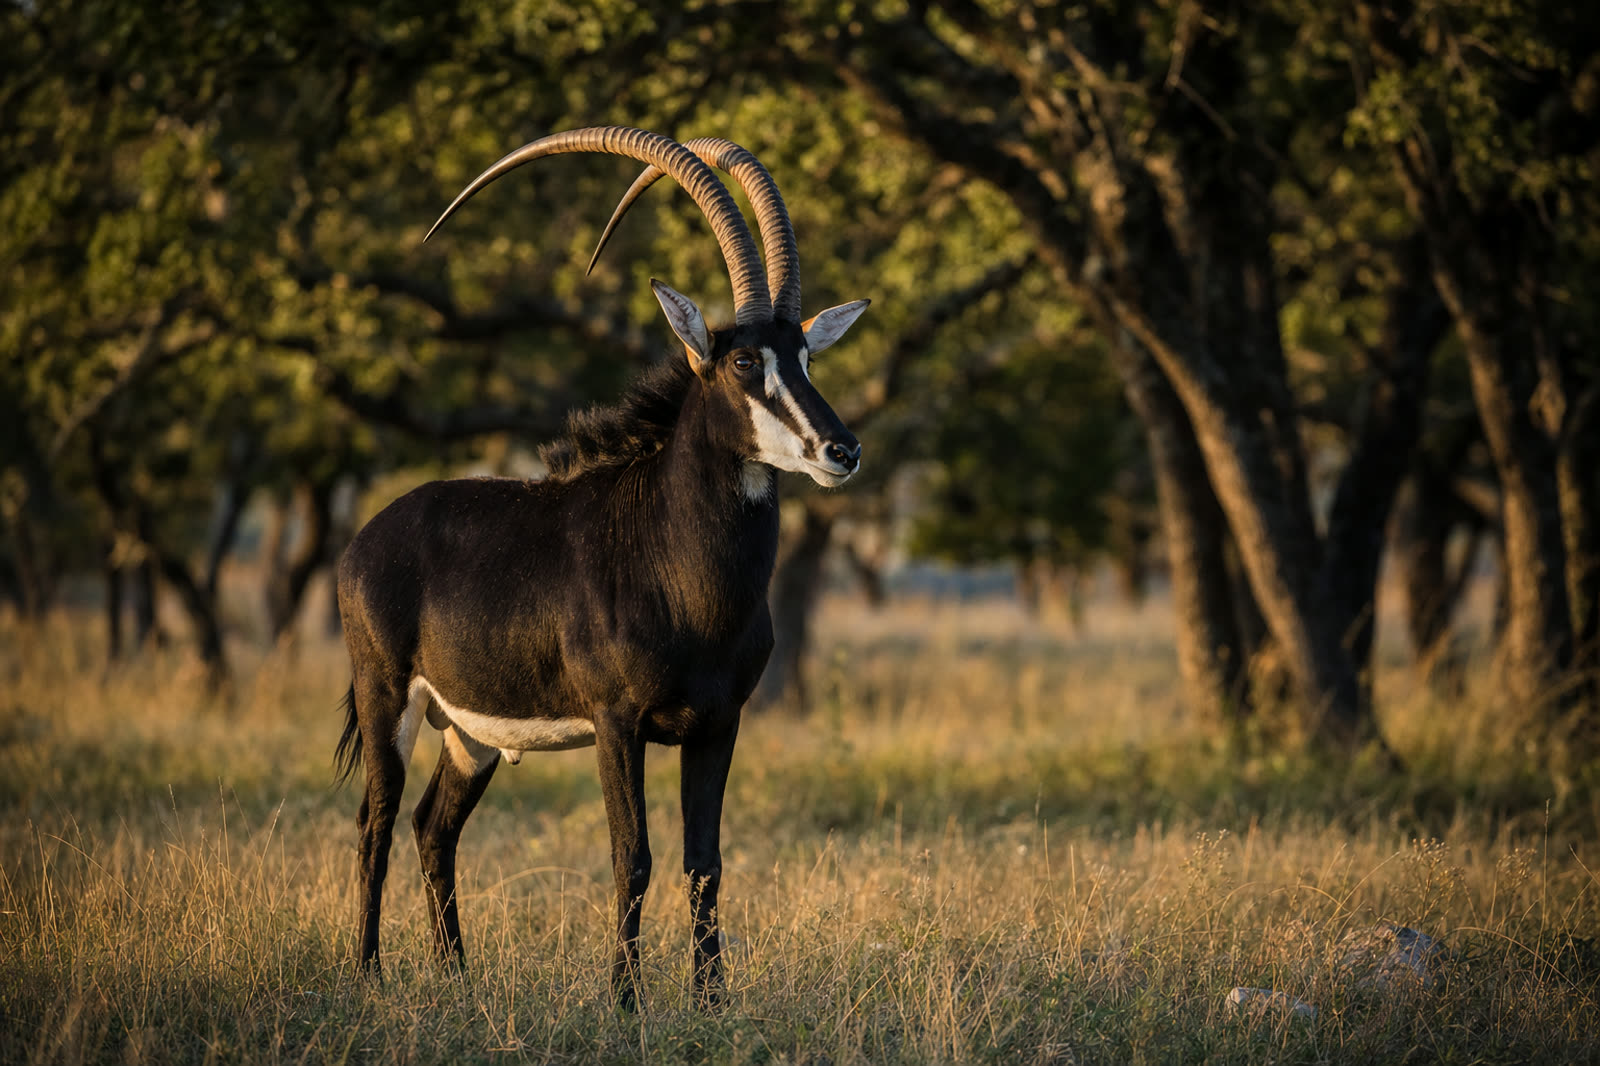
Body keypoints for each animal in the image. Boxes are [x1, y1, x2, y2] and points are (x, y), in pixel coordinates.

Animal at [333, 126, 870, 1009]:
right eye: (743, 364)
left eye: (806, 359)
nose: (842, 449)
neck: (681, 574)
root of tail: (363, 540)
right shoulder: (619, 723)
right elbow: (634, 857)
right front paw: (625, 1001)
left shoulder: (718, 724)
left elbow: (704, 864)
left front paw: (711, 1002)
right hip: (389, 699)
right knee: (375, 822)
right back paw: (368, 974)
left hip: (470, 734)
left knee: (431, 827)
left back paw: (457, 977)